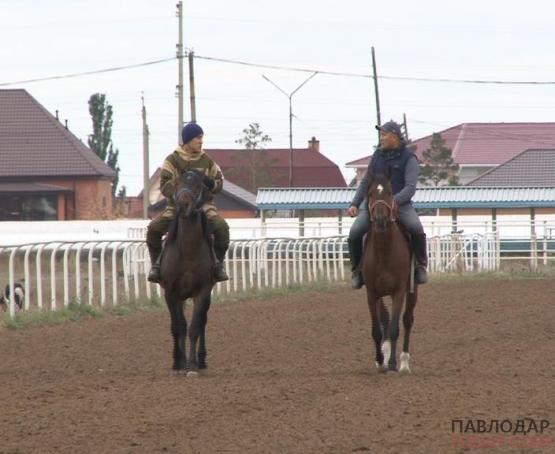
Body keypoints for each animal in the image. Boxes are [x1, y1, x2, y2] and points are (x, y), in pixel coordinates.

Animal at [160, 170, 216, 376]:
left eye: (198, 185)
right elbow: (179, 327)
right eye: (176, 183)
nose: (183, 205)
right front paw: (179, 363)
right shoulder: (171, 292)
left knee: (202, 323)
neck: (188, 251)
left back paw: (201, 360)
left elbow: (194, 327)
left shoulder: (203, 291)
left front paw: (192, 366)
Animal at [360, 170, 416, 372]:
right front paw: (379, 359)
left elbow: (394, 328)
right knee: (385, 319)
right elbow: (377, 329)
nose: (381, 220)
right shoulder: (372, 292)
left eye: (390, 193)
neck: (384, 251)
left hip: (412, 289)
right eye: (370, 194)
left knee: (407, 320)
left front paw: (392, 363)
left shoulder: (398, 291)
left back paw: (404, 362)